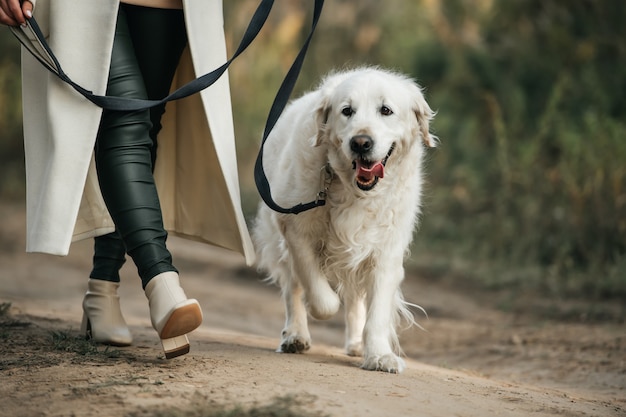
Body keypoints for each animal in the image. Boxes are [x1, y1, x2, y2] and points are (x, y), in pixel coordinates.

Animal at [249, 66, 434, 372]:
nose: (361, 143)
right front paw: (320, 308)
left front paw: (379, 355)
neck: (353, 191)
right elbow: (321, 295)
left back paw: (357, 344)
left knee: (355, 301)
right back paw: (296, 335)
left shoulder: (386, 249)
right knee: (293, 289)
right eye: (347, 111)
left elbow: (377, 311)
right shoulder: (295, 230)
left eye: (386, 110)